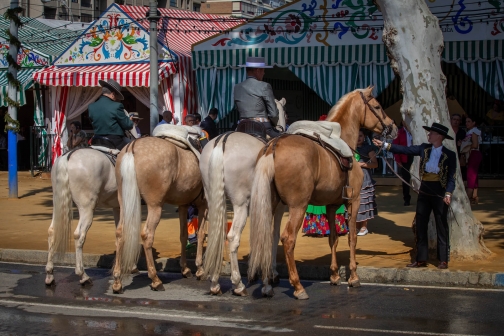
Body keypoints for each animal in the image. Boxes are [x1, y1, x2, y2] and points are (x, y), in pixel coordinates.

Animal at [45, 148, 120, 284]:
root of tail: (68, 155)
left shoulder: (117, 207)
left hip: (57, 202)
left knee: (52, 231)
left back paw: (49, 273)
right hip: (87, 208)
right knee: (79, 235)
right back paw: (82, 275)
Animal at [111, 127, 207, 292]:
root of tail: (132, 148)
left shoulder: (183, 205)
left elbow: (183, 235)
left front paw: (185, 269)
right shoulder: (203, 205)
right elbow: (200, 234)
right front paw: (200, 269)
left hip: (123, 202)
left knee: (120, 233)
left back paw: (117, 281)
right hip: (155, 206)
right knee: (147, 235)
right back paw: (155, 279)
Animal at [201, 98, 288, 296]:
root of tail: (221, 142)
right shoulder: (277, 206)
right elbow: (272, 235)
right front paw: (271, 275)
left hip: (215, 200)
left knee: (218, 234)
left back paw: (215, 282)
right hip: (240, 204)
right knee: (233, 237)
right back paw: (238, 284)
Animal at [248, 86, 398, 300]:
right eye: (377, 106)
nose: (393, 128)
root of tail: (274, 146)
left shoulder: (332, 205)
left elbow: (333, 239)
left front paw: (334, 275)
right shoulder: (354, 201)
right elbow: (352, 238)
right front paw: (353, 277)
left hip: (271, 204)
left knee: (267, 238)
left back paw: (267, 285)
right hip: (298, 206)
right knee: (288, 239)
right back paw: (298, 286)